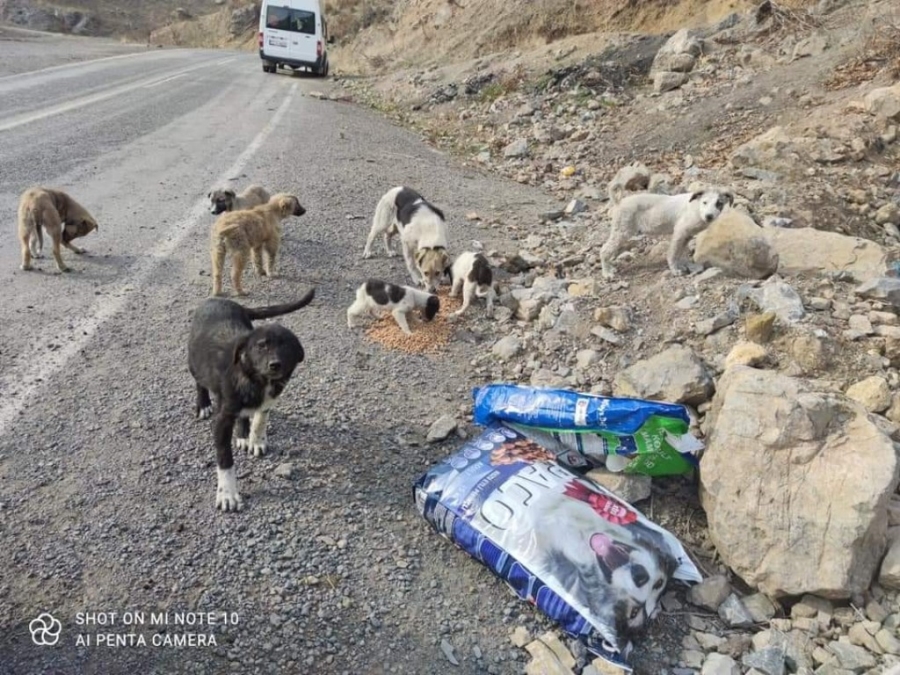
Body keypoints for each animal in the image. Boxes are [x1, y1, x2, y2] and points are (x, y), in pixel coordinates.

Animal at [186, 288, 316, 516]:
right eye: (261, 346)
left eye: (287, 347)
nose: (275, 365)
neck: (255, 378)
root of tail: (220, 300)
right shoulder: (222, 419)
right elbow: (225, 459)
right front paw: (227, 494)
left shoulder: (269, 399)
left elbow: (260, 418)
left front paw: (255, 439)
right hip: (194, 361)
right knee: (200, 381)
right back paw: (203, 404)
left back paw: (243, 434)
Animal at [596, 189, 732, 282]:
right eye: (705, 202)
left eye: (719, 203)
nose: (709, 216)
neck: (696, 208)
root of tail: (619, 202)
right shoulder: (679, 231)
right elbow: (673, 253)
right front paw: (675, 270)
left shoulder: (686, 235)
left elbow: (680, 253)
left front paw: (683, 265)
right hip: (622, 231)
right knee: (604, 250)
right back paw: (607, 273)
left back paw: (610, 268)